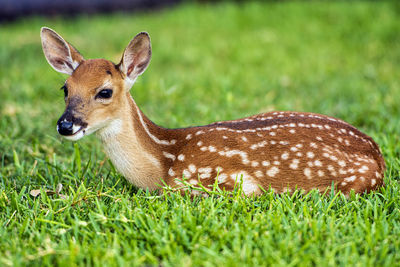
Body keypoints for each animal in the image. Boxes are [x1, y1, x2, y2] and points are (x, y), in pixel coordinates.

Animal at [39, 27, 384, 197]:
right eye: (65, 88)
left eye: (105, 92)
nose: (66, 125)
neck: (163, 161)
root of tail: (378, 155)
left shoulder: (223, 179)